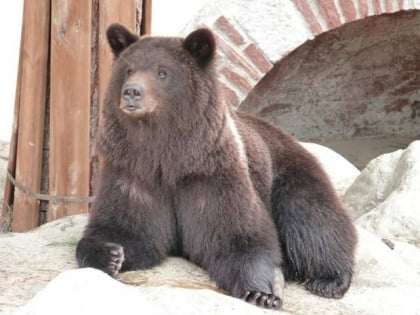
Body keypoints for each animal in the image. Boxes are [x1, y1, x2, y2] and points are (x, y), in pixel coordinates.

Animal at [76, 24, 358, 312]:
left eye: (162, 71)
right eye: (128, 69)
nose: (132, 91)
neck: (168, 155)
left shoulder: (212, 175)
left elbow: (238, 236)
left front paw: (262, 293)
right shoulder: (135, 173)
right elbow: (125, 228)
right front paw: (110, 254)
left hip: (290, 171)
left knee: (311, 218)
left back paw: (329, 280)